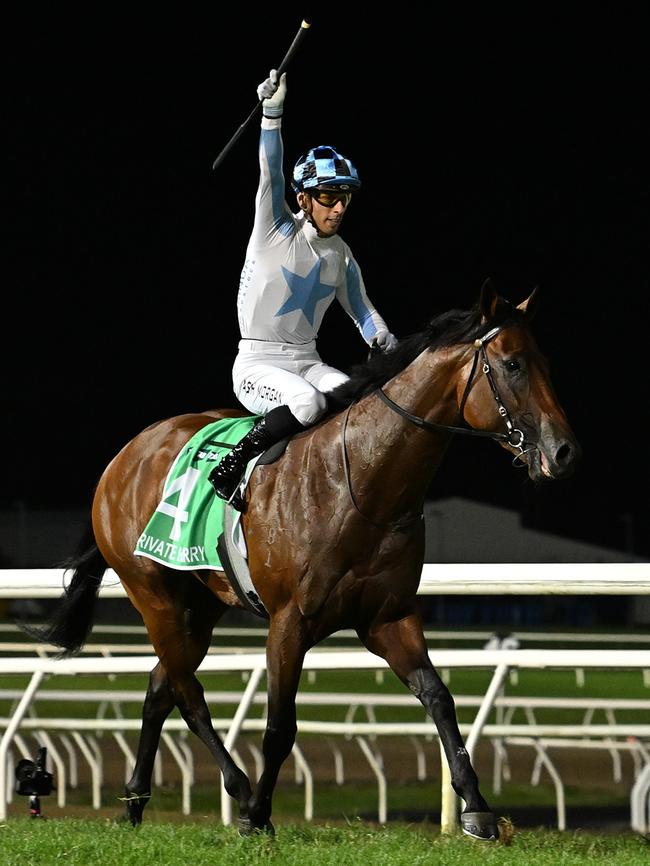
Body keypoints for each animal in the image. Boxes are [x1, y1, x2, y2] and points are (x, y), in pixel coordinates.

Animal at [30, 282, 576, 836]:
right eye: (512, 364)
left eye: (546, 363)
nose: (564, 451)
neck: (361, 483)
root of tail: (123, 457)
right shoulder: (288, 621)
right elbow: (279, 726)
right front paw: (257, 815)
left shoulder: (388, 616)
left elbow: (439, 697)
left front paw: (477, 807)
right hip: (153, 594)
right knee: (188, 692)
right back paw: (239, 791)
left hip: (198, 605)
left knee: (162, 686)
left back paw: (135, 803)